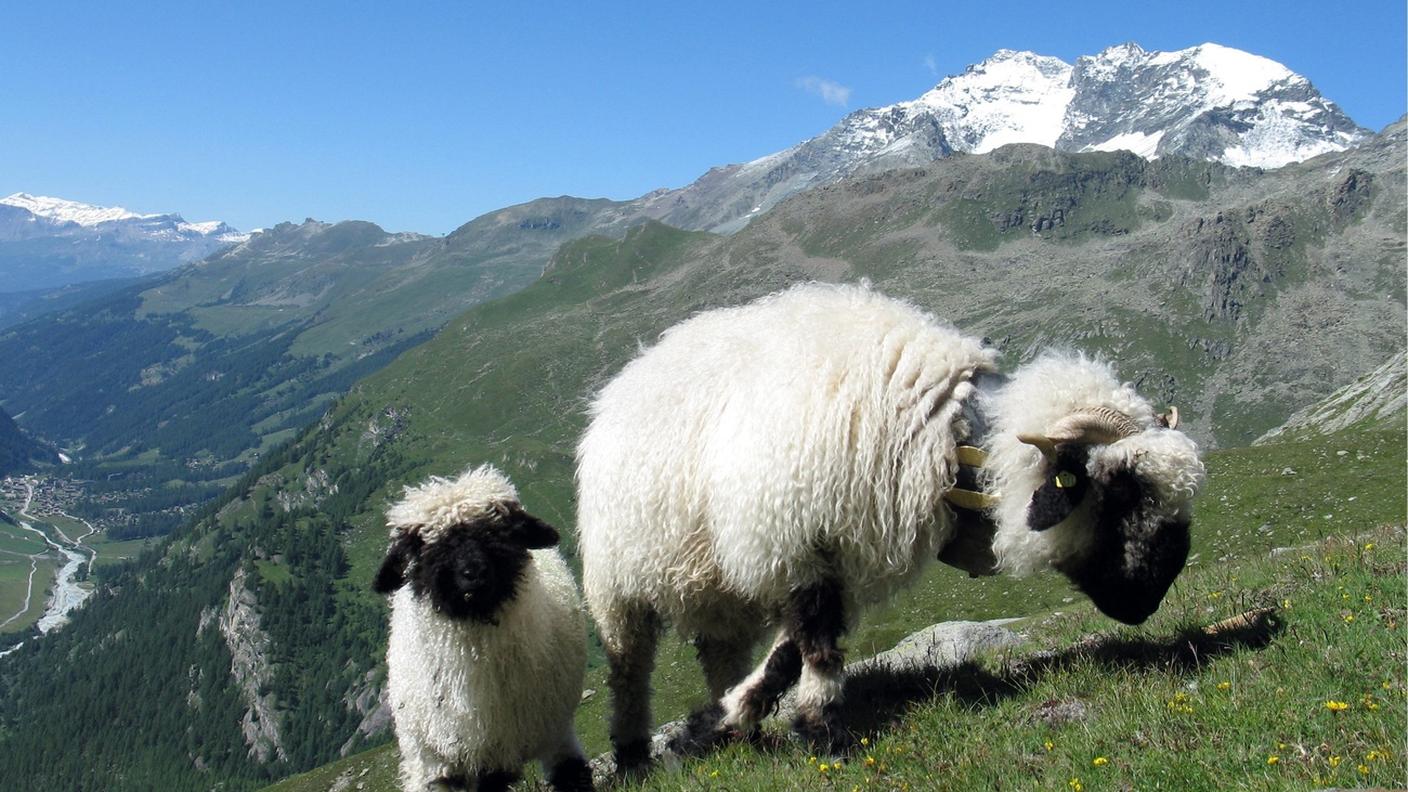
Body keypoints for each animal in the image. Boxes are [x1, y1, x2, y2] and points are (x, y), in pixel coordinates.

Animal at [576, 282, 1203, 770]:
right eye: (1121, 487)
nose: (1154, 595)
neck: (946, 433)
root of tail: (632, 374)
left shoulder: (833, 555)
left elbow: (788, 654)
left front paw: (737, 714)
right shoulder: (798, 541)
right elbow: (817, 646)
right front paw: (824, 735)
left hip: (718, 589)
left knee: (718, 653)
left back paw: (737, 731)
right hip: (617, 583)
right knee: (628, 669)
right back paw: (632, 753)